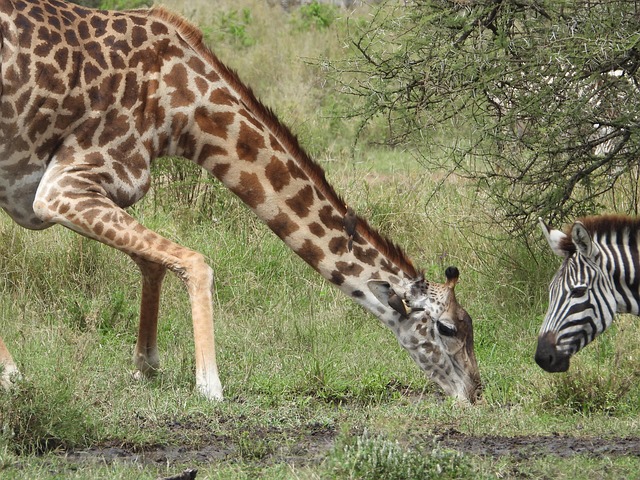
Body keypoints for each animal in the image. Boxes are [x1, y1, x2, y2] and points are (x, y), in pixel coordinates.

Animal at [0, 0, 482, 403]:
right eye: (447, 327)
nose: (475, 392)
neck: (180, 109)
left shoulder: (83, 191)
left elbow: (154, 263)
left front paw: (145, 365)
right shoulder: (62, 188)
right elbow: (195, 261)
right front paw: (209, 385)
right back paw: (13, 376)